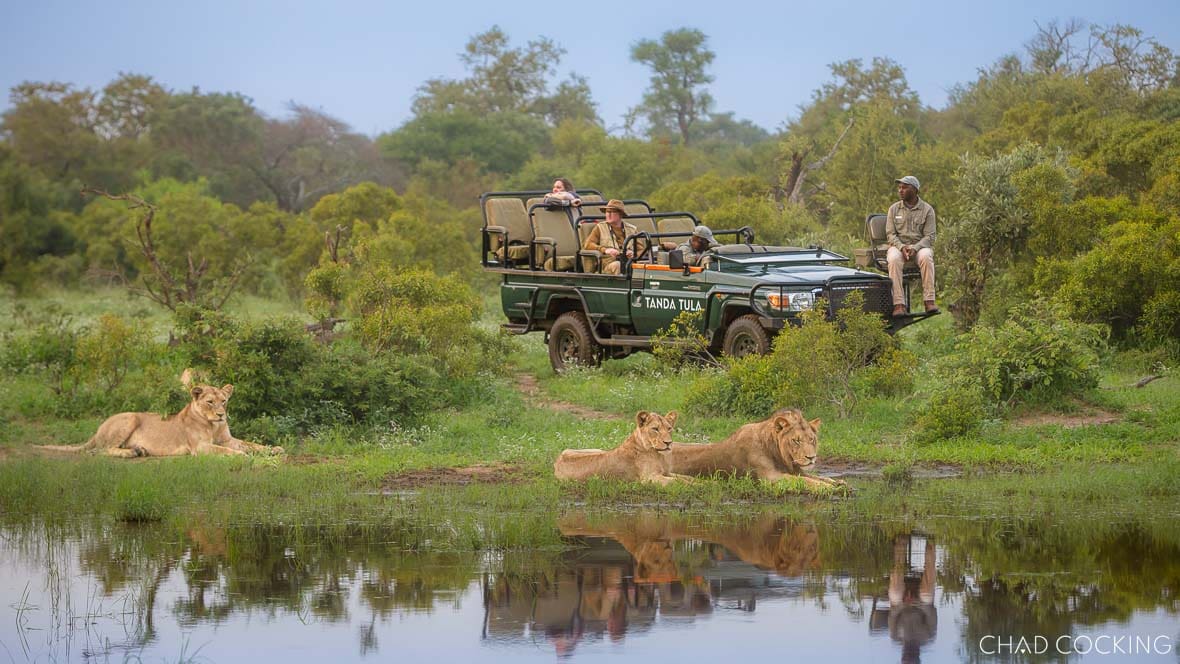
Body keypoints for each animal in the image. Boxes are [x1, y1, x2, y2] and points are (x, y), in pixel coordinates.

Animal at [39, 375, 282, 458]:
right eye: (209, 402)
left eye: (224, 401)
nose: (222, 415)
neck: (214, 425)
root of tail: (98, 429)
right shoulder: (201, 447)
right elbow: (227, 451)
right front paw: (242, 456)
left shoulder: (228, 439)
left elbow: (252, 444)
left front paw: (275, 449)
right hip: (130, 418)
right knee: (102, 450)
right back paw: (131, 453)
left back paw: (140, 450)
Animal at [553, 411, 694, 485]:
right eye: (655, 429)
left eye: (669, 428)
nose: (668, 443)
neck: (659, 455)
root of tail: (557, 460)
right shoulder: (649, 478)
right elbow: (680, 482)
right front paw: (697, 486)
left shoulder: (667, 472)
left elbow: (687, 477)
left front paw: (698, 481)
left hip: (596, 449)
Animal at [668, 408, 843, 489]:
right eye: (796, 441)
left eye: (812, 439)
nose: (811, 458)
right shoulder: (770, 477)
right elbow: (806, 481)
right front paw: (829, 488)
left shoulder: (797, 470)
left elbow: (817, 477)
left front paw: (839, 483)